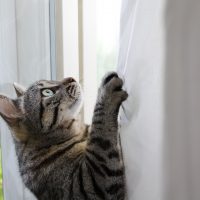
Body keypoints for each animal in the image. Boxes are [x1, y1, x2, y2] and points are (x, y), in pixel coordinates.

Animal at [0, 72, 128, 200]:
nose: (70, 78)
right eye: (47, 92)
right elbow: (101, 129)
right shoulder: (90, 185)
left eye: (51, 81)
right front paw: (105, 92)